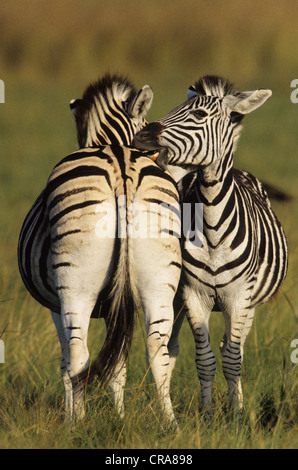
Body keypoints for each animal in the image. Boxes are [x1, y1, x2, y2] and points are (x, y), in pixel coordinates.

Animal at [19, 75, 182, 424]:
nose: (165, 160)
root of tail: (120, 164)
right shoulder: (115, 306)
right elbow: (117, 366)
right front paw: (119, 418)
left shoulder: (55, 306)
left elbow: (66, 362)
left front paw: (72, 413)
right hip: (160, 277)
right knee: (157, 351)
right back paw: (170, 424)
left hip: (75, 285)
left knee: (78, 354)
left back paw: (77, 423)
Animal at [132, 74, 286, 414]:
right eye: (175, 107)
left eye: (199, 115)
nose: (141, 136)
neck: (213, 225)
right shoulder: (194, 296)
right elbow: (205, 360)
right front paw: (206, 413)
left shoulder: (239, 298)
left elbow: (232, 359)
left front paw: (236, 415)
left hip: (249, 304)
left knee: (233, 347)